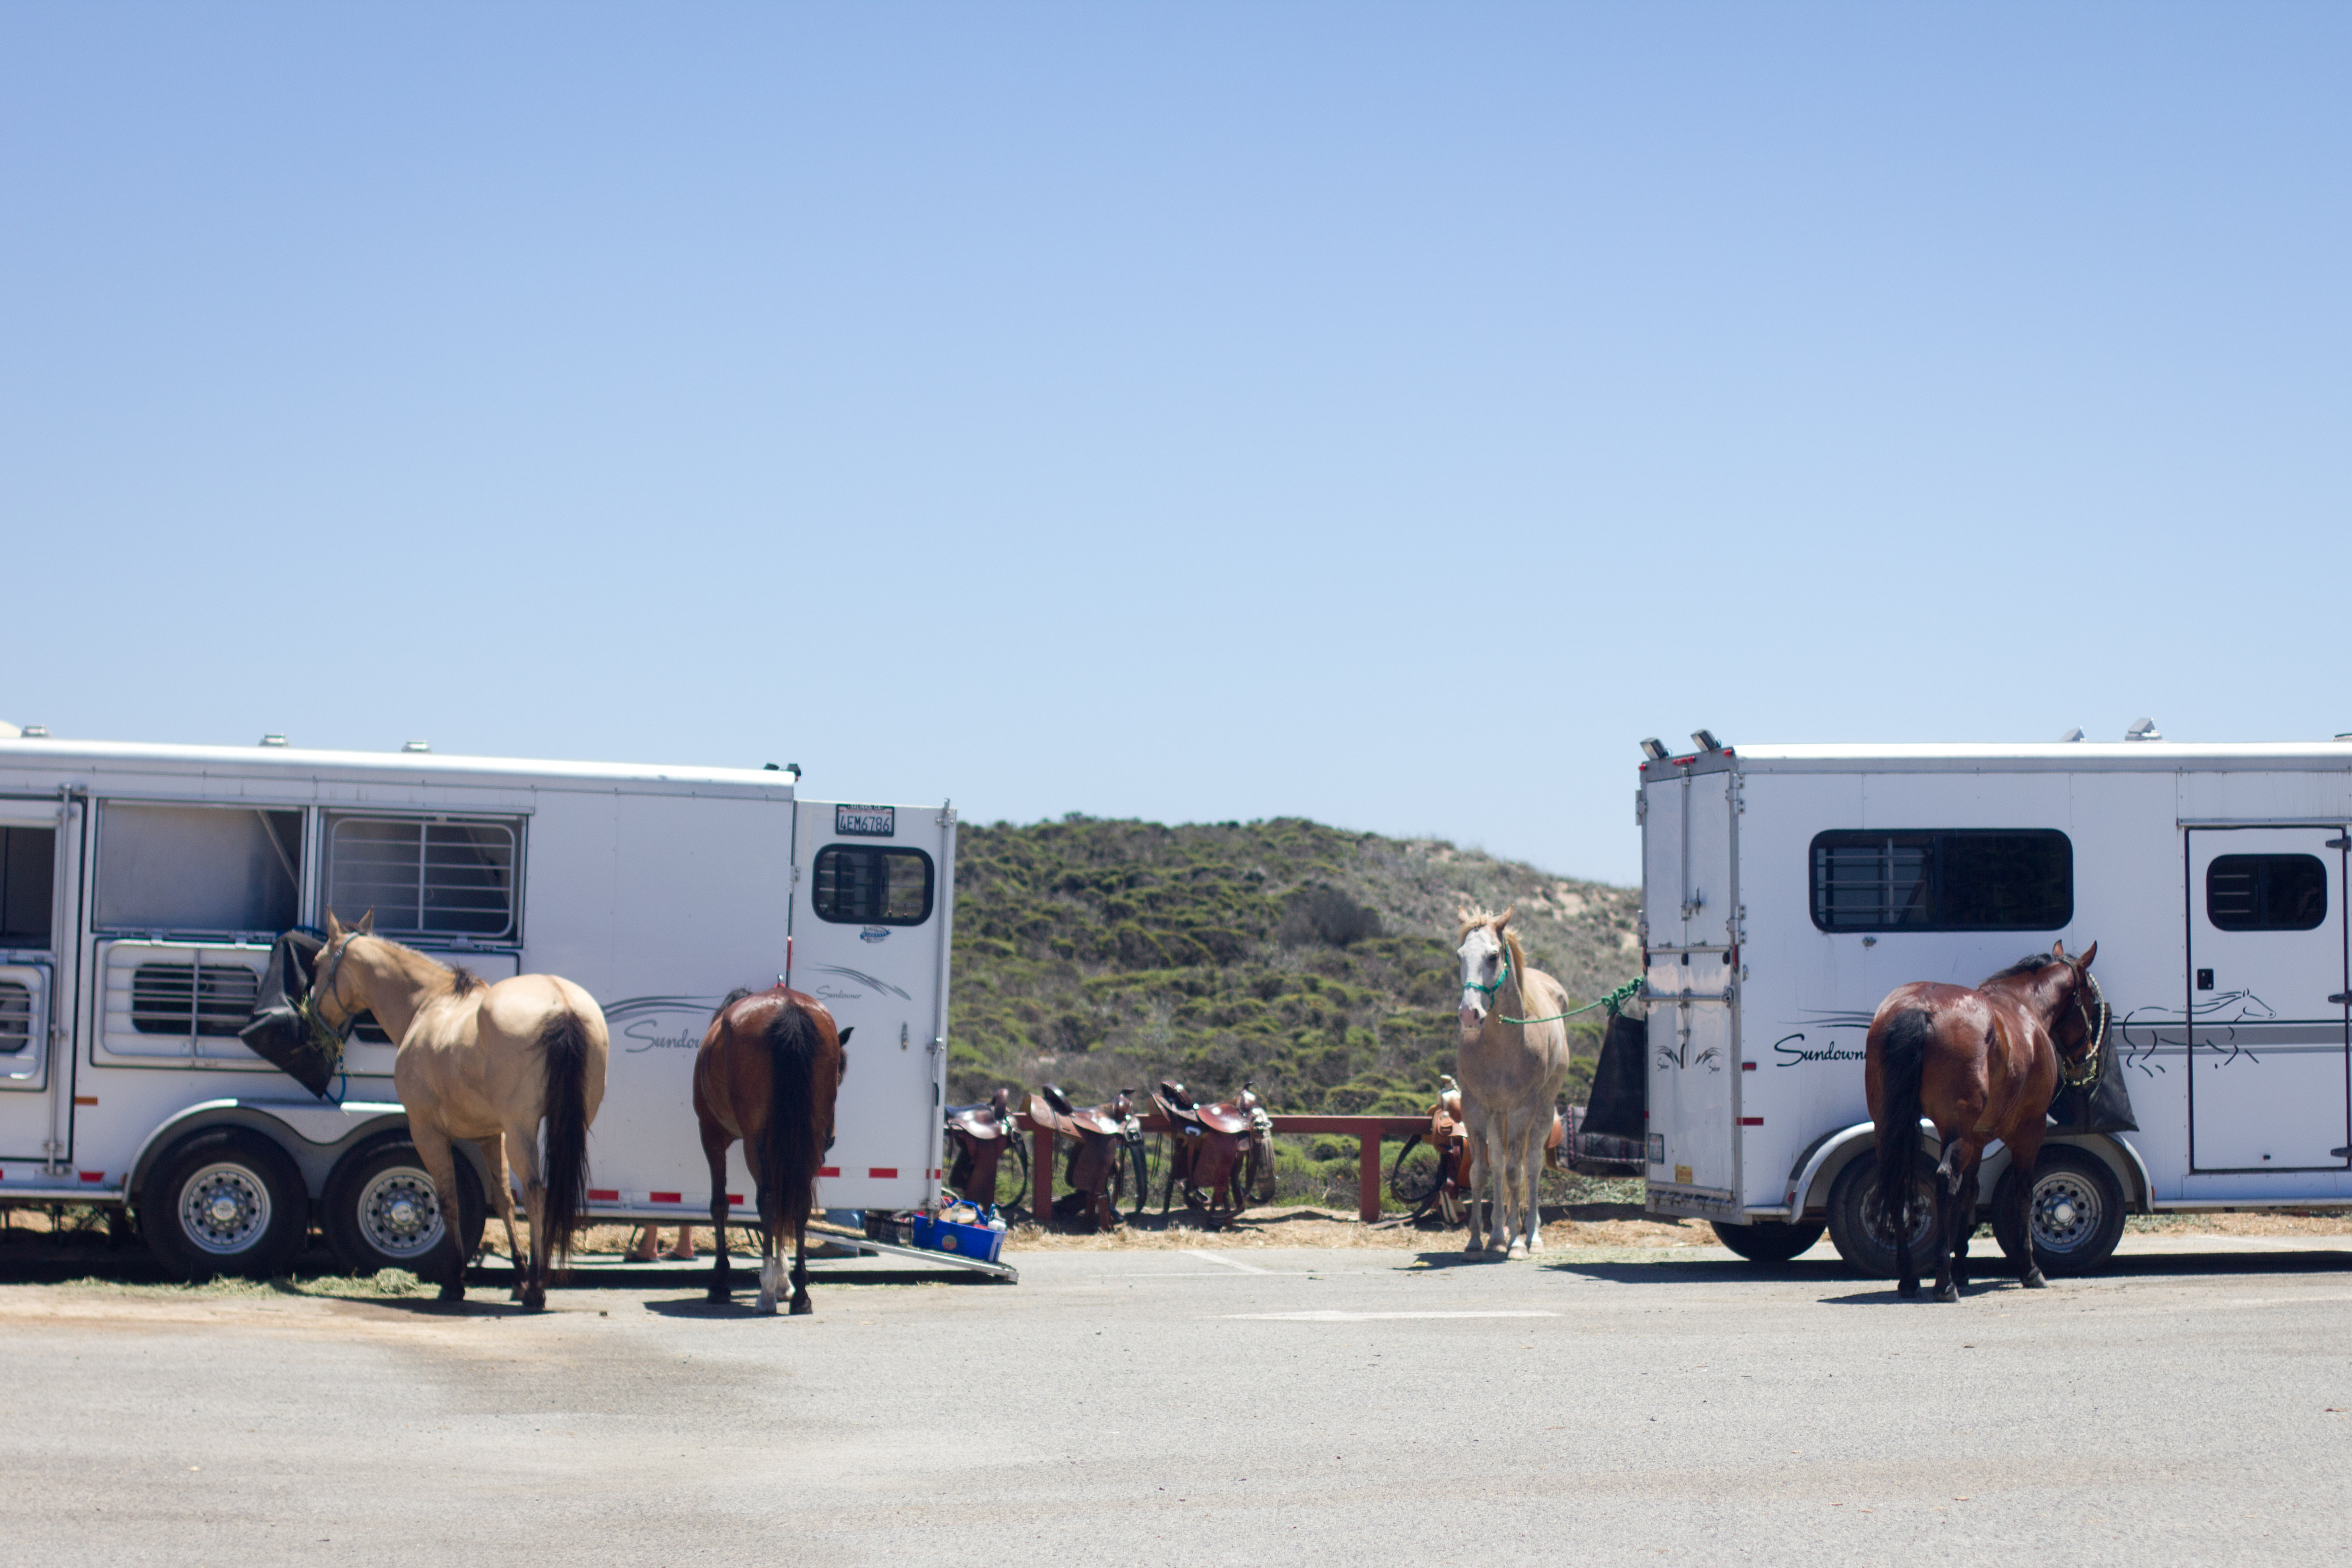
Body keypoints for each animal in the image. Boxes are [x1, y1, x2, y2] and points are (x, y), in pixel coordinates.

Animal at [303, 912, 607, 1307]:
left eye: (317, 963)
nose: (310, 1015)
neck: (430, 1004)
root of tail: (563, 1005)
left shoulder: (427, 1132)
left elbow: (448, 1199)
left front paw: (454, 1281)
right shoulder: (491, 1135)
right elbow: (503, 1200)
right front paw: (518, 1274)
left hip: (522, 1128)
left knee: (535, 1191)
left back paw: (537, 1289)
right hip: (570, 1125)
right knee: (546, 1192)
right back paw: (533, 1281)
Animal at [691, 987, 851, 1316]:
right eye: (839, 1078)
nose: (831, 1139)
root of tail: (789, 1007)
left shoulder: (711, 1135)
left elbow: (720, 1205)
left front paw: (721, 1282)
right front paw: (784, 1281)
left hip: (755, 1141)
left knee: (766, 1199)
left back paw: (765, 1293)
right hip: (801, 1142)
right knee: (797, 1201)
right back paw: (801, 1293)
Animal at [1863, 945, 2107, 1298]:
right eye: (2092, 1002)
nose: (2086, 1060)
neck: (2024, 1006)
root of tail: (1920, 1007)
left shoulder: (1977, 1138)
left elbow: (1970, 1192)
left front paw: (1963, 1265)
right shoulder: (2029, 1131)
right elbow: (2023, 1192)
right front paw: (2030, 1269)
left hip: (1891, 1128)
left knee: (1899, 1181)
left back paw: (1910, 1278)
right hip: (1956, 1131)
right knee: (1944, 1179)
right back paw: (1944, 1283)